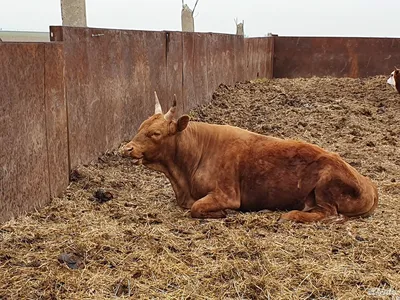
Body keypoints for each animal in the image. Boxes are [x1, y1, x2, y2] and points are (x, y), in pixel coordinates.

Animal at [121, 92, 378, 223]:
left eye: (156, 133)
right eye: (140, 126)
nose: (127, 149)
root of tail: (369, 184)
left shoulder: (227, 195)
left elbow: (196, 207)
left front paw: (227, 213)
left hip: (326, 185)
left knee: (330, 214)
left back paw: (291, 215)